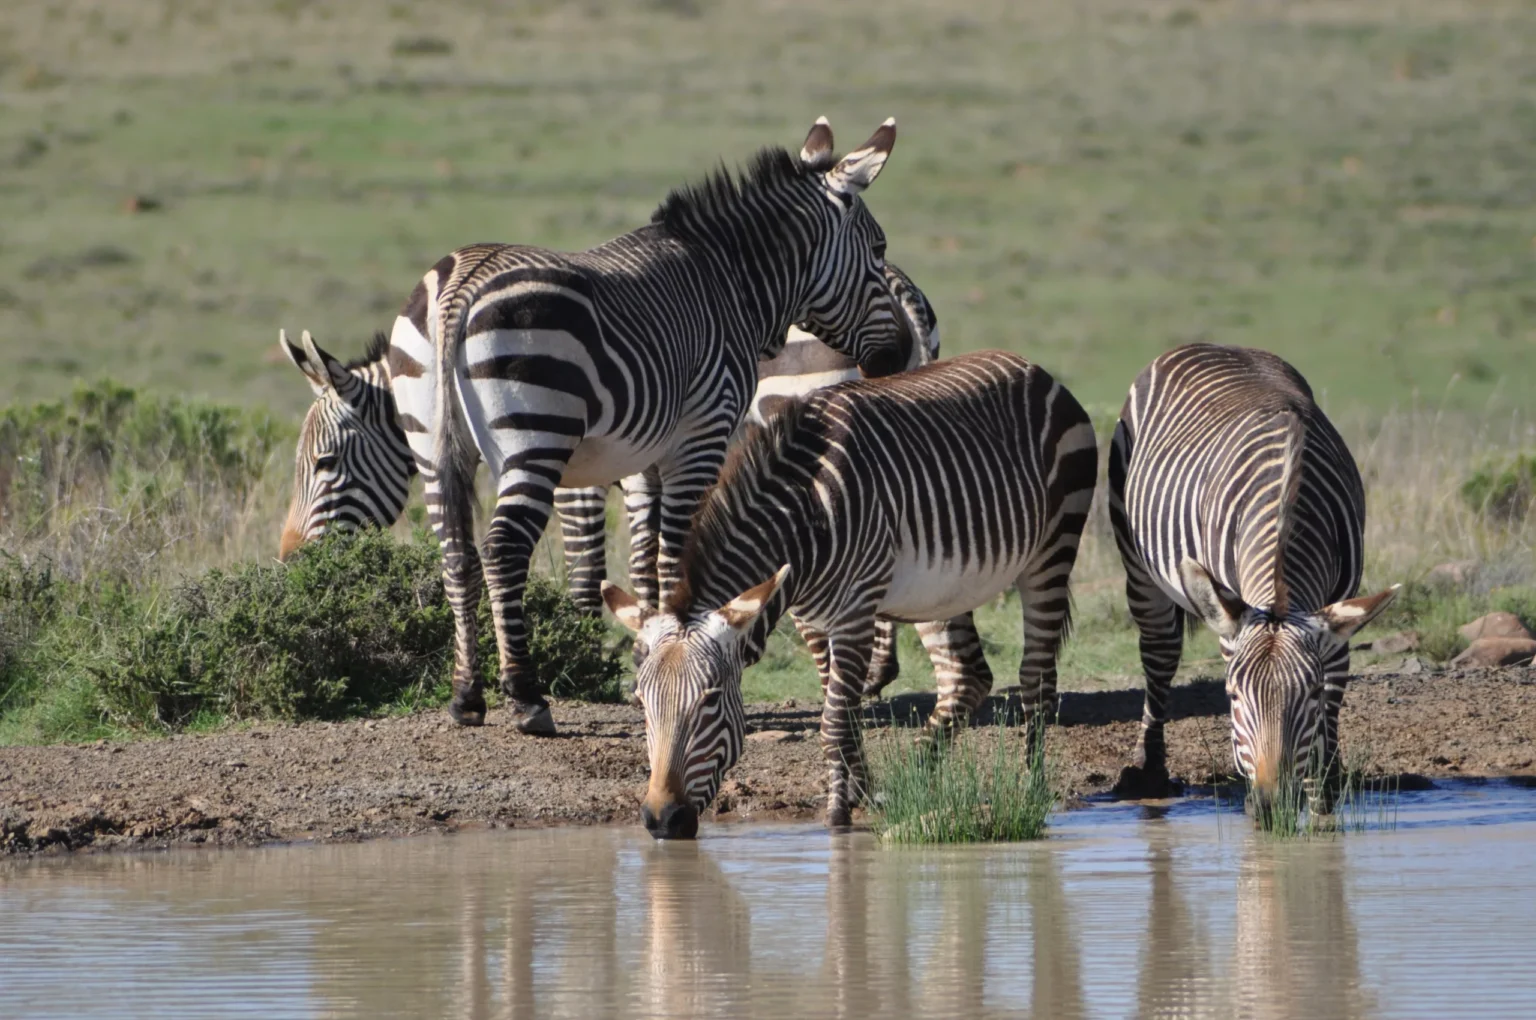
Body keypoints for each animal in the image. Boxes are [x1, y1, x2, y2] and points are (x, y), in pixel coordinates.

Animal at [602, 351, 1098, 837]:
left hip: (1052, 549)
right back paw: (915, 776)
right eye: (640, 701)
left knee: (1036, 678)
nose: (662, 820)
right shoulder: (808, 617)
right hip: (942, 590)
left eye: (709, 700)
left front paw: (837, 816)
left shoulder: (856, 610)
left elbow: (835, 720)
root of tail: (1033, 369)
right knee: (966, 678)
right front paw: (860, 790)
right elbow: (841, 708)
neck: (802, 517)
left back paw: (1033, 790)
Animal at [1105, 343, 1398, 813]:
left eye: (1311, 694)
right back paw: (1147, 771)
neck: (1288, 495)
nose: (1269, 802)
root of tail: (1211, 345)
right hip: (1137, 560)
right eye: (1232, 697)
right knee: (1159, 654)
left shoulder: (1338, 613)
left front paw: (1325, 785)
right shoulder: (1233, 620)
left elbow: (1335, 693)